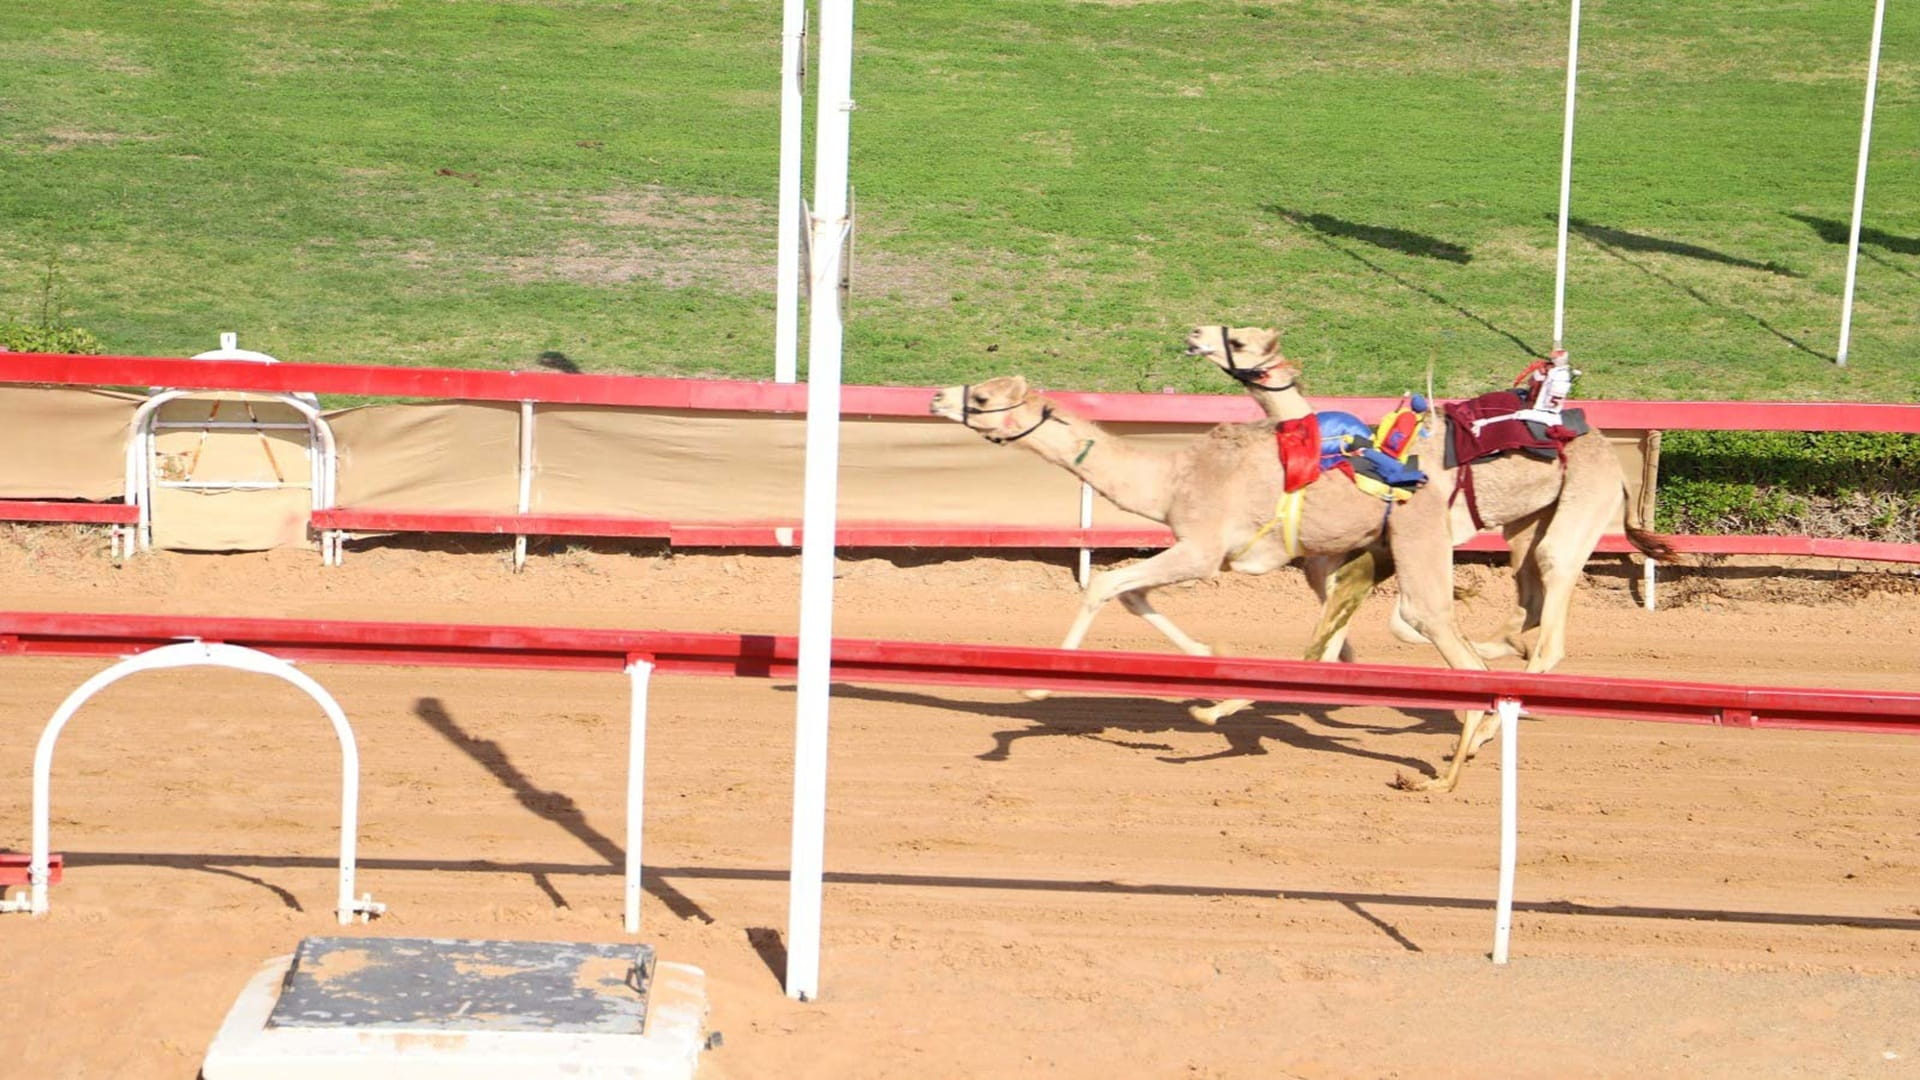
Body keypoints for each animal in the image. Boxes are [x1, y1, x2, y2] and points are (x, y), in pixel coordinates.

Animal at [1182, 325, 1677, 788]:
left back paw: (1480, 731)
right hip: (1526, 524)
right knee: (1527, 594)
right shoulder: (1364, 560)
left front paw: (1214, 710)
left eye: (1240, 341)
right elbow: (1341, 638)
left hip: (1581, 510)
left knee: (1550, 619)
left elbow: (1376, 626)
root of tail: (1618, 467)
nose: (1195, 334)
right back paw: (1491, 666)